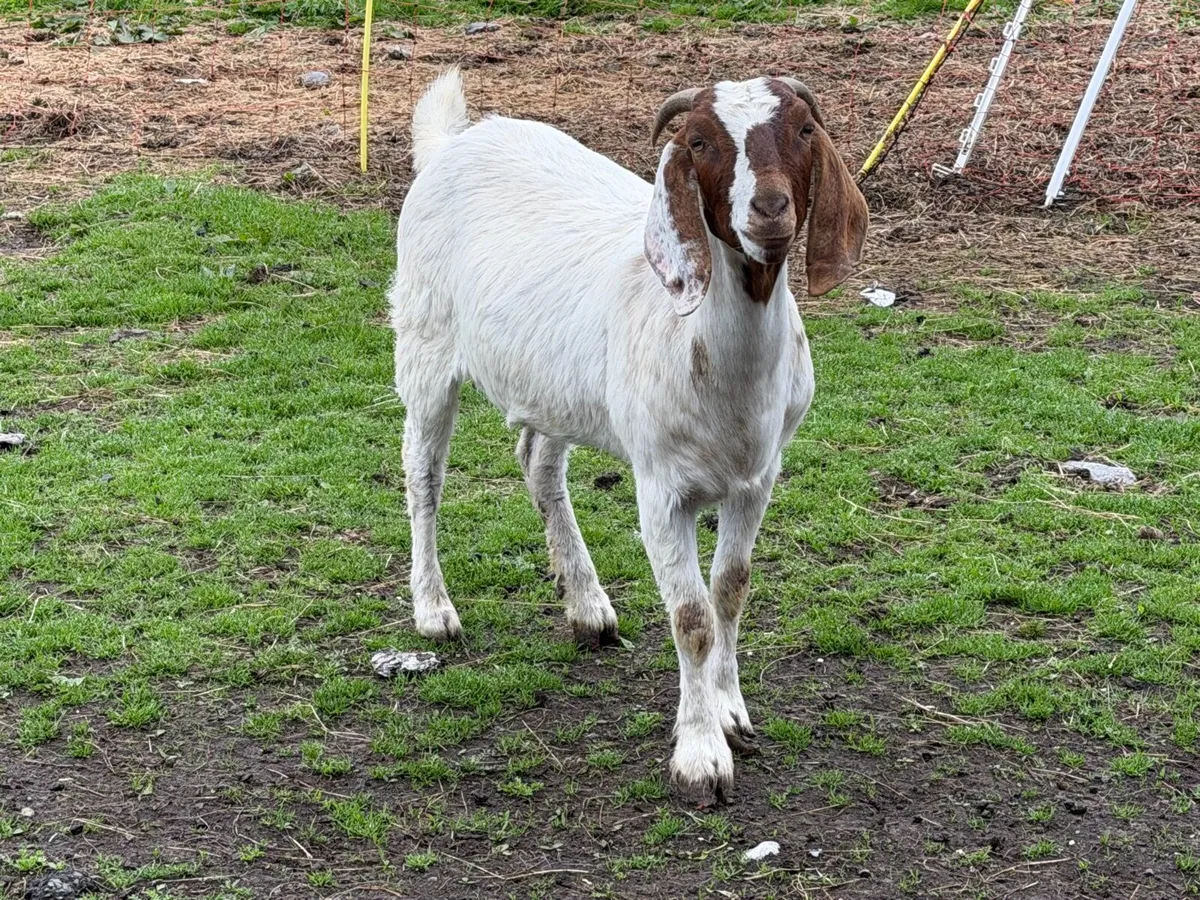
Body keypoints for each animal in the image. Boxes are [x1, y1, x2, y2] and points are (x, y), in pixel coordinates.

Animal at [391, 68, 868, 800]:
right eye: (698, 141)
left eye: (804, 130)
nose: (770, 208)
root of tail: (453, 141)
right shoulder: (660, 487)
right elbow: (691, 618)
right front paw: (700, 755)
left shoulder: (757, 479)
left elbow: (730, 591)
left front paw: (730, 710)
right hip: (424, 343)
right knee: (424, 476)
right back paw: (434, 609)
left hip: (557, 386)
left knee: (539, 462)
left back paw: (588, 606)